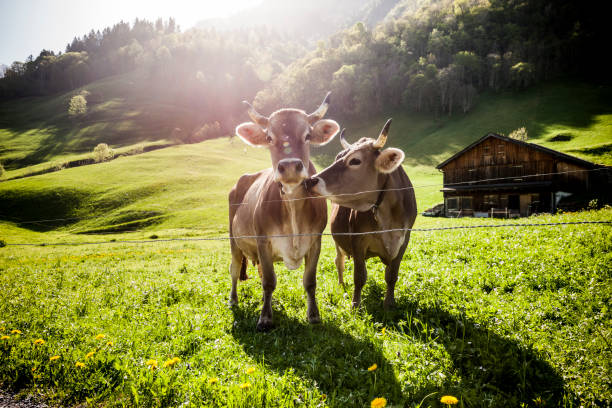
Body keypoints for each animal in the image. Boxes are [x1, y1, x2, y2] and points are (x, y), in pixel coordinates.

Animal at [228, 95, 340, 332]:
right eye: (269, 137)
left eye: (307, 135)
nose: (289, 166)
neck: (293, 204)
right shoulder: (263, 241)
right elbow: (269, 281)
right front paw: (265, 319)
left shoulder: (315, 241)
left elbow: (310, 281)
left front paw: (313, 315)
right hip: (234, 240)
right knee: (234, 268)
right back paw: (233, 299)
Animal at [306, 119, 416, 308]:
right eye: (339, 157)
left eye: (355, 161)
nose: (311, 180)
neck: (388, 216)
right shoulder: (357, 239)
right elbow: (359, 276)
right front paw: (355, 304)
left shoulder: (404, 239)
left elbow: (391, 275)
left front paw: (389, 303)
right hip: (338, 240)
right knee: (339, 261)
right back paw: (341, 285)